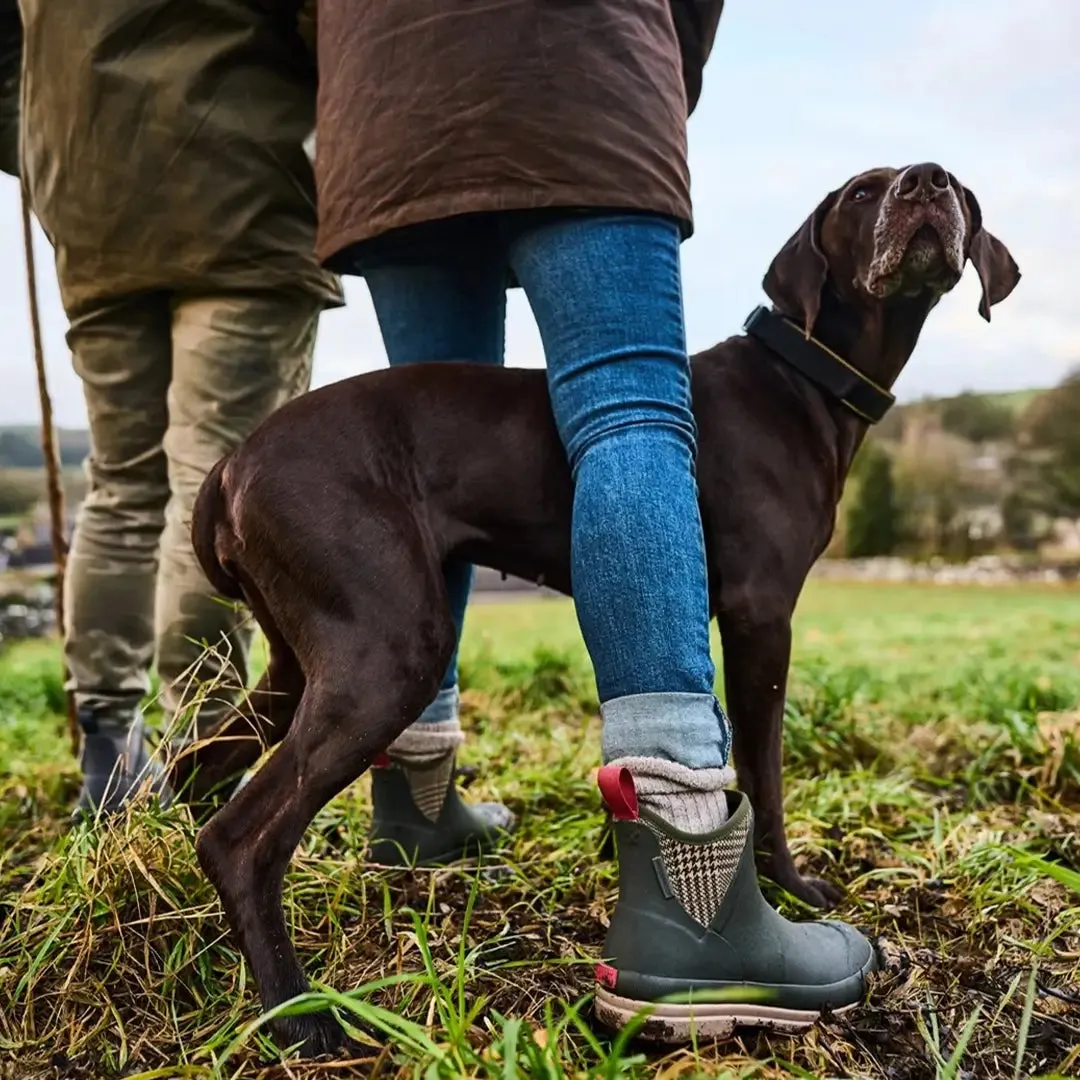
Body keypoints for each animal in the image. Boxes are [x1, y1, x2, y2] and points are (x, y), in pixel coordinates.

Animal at [172, 162, 1015, 1054]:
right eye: (861, 193)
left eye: (956, 189)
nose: (926, 185)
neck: (800, 379)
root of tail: (232, 464)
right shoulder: (760, 618)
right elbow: (766, 774)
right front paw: (789, 888)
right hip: (386, 652)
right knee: (239, 839)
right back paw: (299, 1014)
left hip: (305, 661)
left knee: (196, 766)